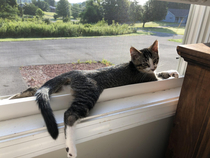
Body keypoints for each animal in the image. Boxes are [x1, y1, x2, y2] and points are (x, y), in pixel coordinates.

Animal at [34, 40, 179, 157]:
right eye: (144, 63)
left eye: (155, 60)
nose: (153, 67)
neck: (135, 67)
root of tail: (75, 72)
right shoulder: (150, 79)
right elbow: (160, 77)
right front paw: (170, 73)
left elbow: (161, 73)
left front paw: (174, 72)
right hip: (89, 94)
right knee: (69, 115)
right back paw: (71, 150)